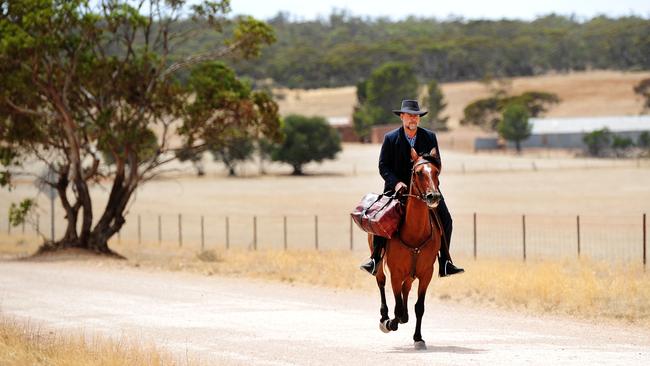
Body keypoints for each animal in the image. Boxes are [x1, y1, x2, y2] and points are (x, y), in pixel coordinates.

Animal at [370, 146, 440, 348]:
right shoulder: (396, 272)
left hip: (411, 274)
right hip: (380, 264)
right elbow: (398, 307)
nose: (433, 196)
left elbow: (419, 307)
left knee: (406, 289)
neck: (415, 233)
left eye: (436, 171)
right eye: (418, 172)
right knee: (381, 282)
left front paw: (418, 338)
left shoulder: (426, 273)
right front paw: (390, 323)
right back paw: (384, 317)